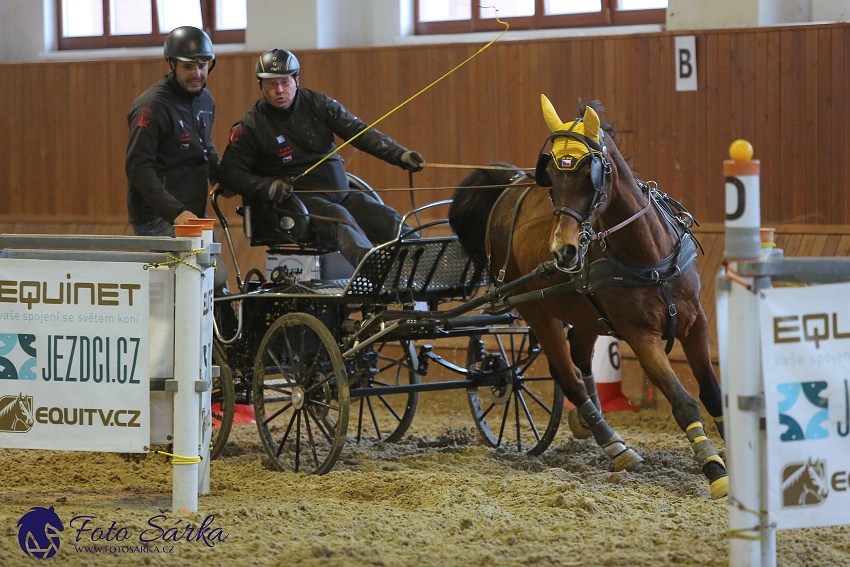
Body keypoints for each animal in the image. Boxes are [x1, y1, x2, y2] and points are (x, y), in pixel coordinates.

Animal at [450, 95, 728, 500]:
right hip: (535, 310)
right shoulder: (640, 336)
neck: (650, 259)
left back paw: (590, 423)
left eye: (590, 175)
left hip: (586, 313)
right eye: (552, 178)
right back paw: (615, 446)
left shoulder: (695, 323)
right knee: (568, 376)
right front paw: (715, 470)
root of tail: (508, 188)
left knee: (579, 361)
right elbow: (684, 402)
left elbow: (712, 393)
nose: (562, 250)